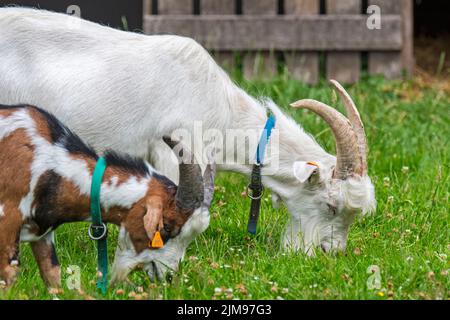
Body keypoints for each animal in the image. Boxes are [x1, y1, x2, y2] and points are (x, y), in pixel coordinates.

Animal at [0, 104, 214, 288]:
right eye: (166, 227)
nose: (168, 276)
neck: (48, 160)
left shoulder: (42, 236)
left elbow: (53, 277)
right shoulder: (7, 225)